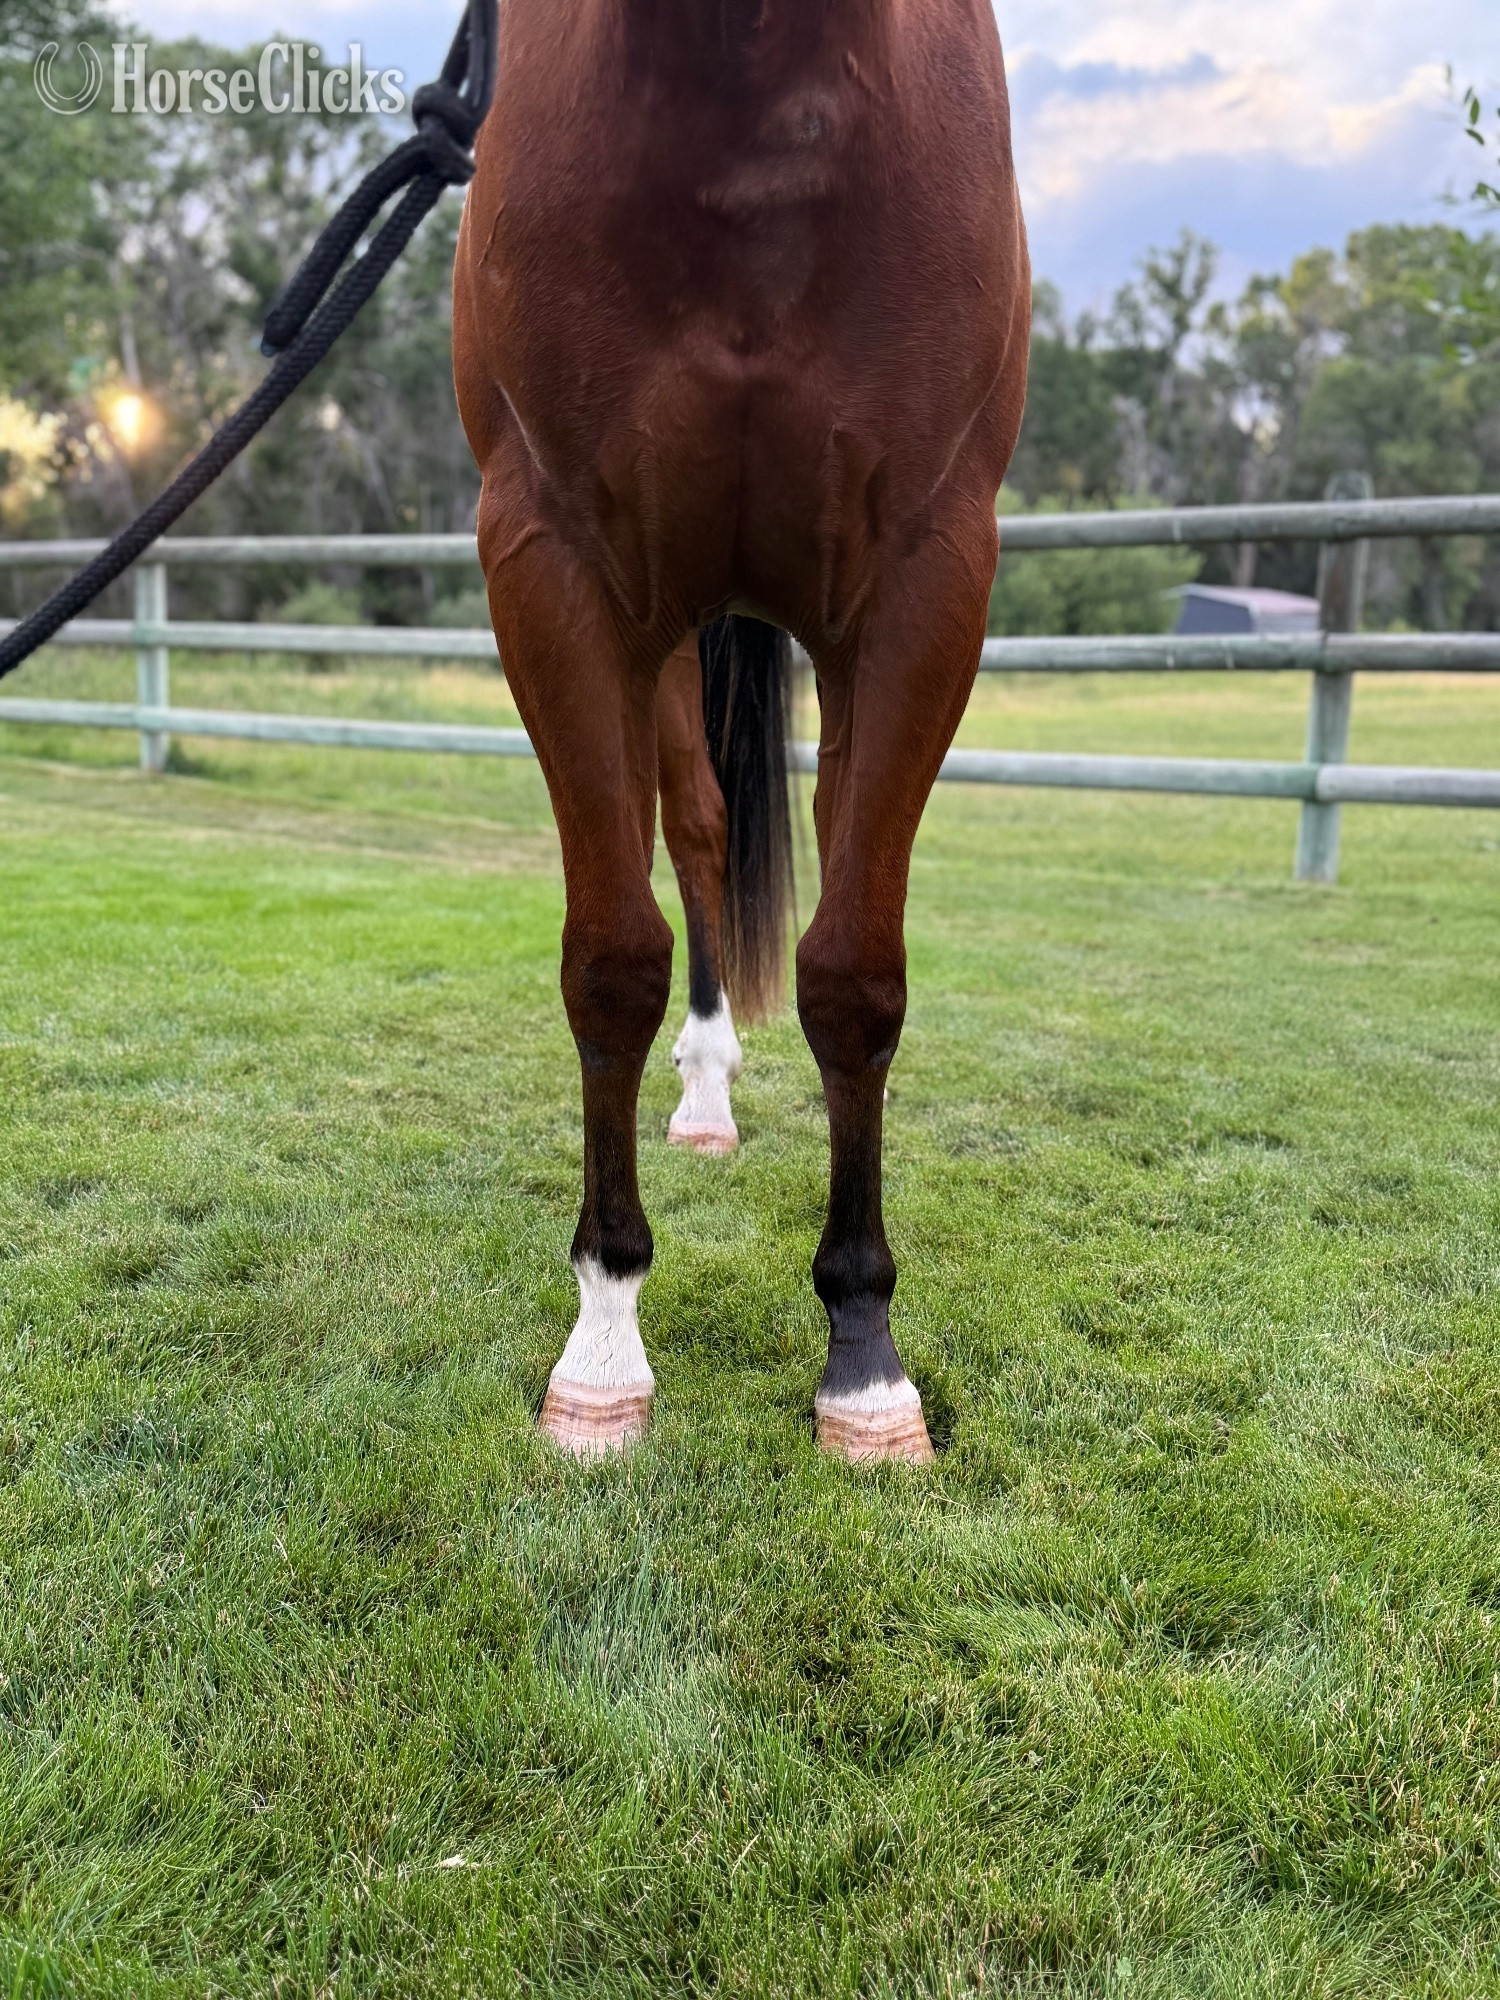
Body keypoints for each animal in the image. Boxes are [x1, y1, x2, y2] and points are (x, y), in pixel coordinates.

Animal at [453, 0, 1030, 1462]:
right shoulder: (553, 565)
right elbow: (611, 962)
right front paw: (604, 1345)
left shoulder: (927, 582)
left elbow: (855, 977)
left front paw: (865, 1356)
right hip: (660, 636)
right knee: (701, 832)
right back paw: (703, 1093)